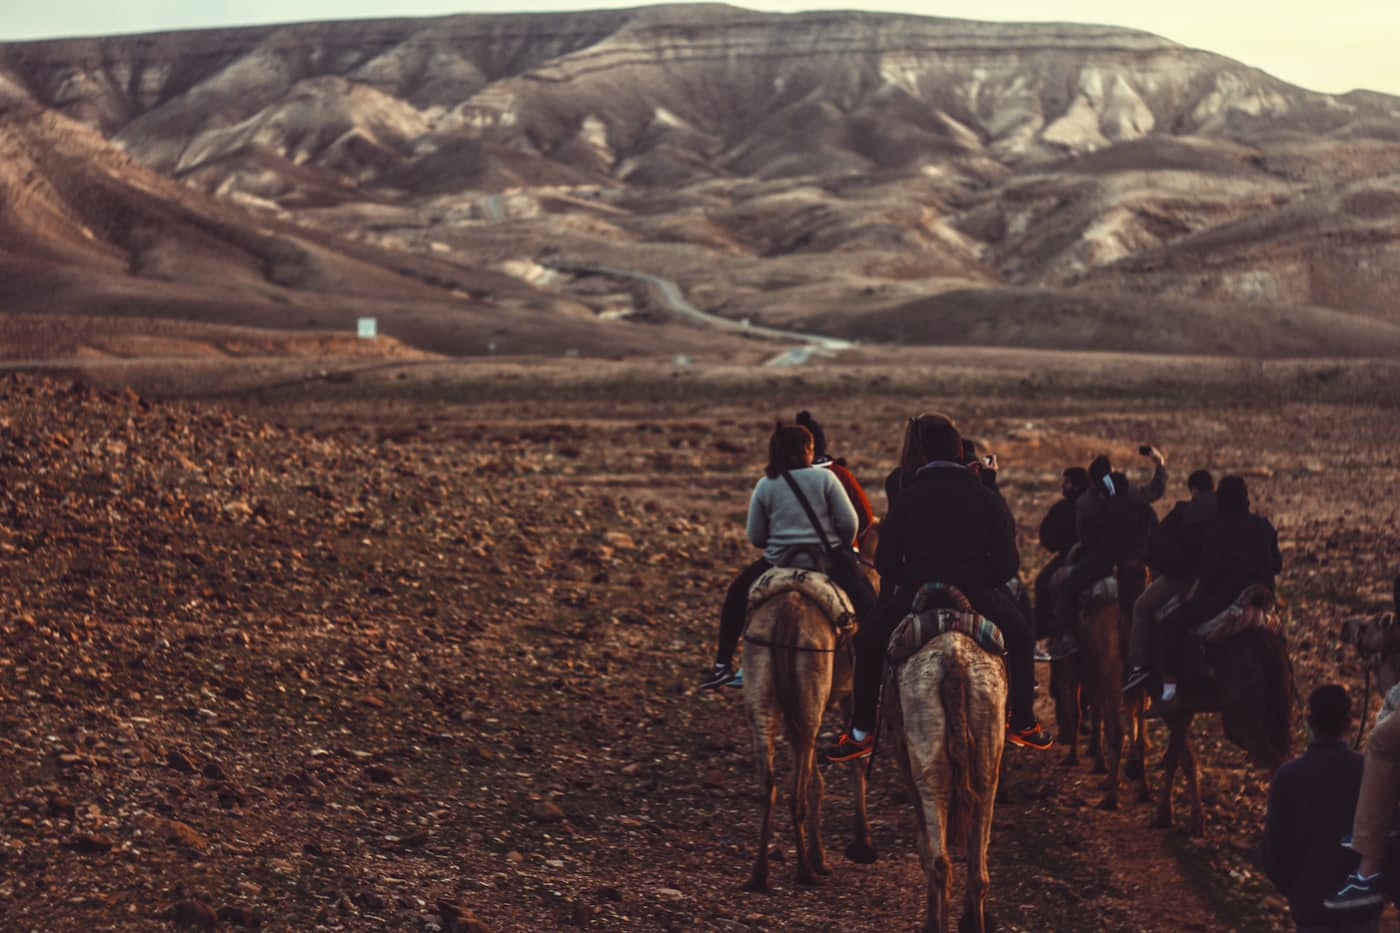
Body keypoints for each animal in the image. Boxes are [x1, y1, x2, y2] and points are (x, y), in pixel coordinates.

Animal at [744, 518, 873, 890]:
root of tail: (788, 614)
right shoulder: (850, 696)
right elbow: (856, 761)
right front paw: (861, 844)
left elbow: (817, 779)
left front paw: (823, 855)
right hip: (810, 700)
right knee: (795, 792)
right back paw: (805, 870)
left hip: (766, 697)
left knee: (769, 784)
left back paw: (760, 874)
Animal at [1148, 585, 1288, 829]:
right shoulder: (1184, 710)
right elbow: (1174, 757)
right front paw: (1165, 814)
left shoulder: (1172, 710)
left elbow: (1186, 759)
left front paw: (1196, 819)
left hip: (1243, 723)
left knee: (1276, 761)